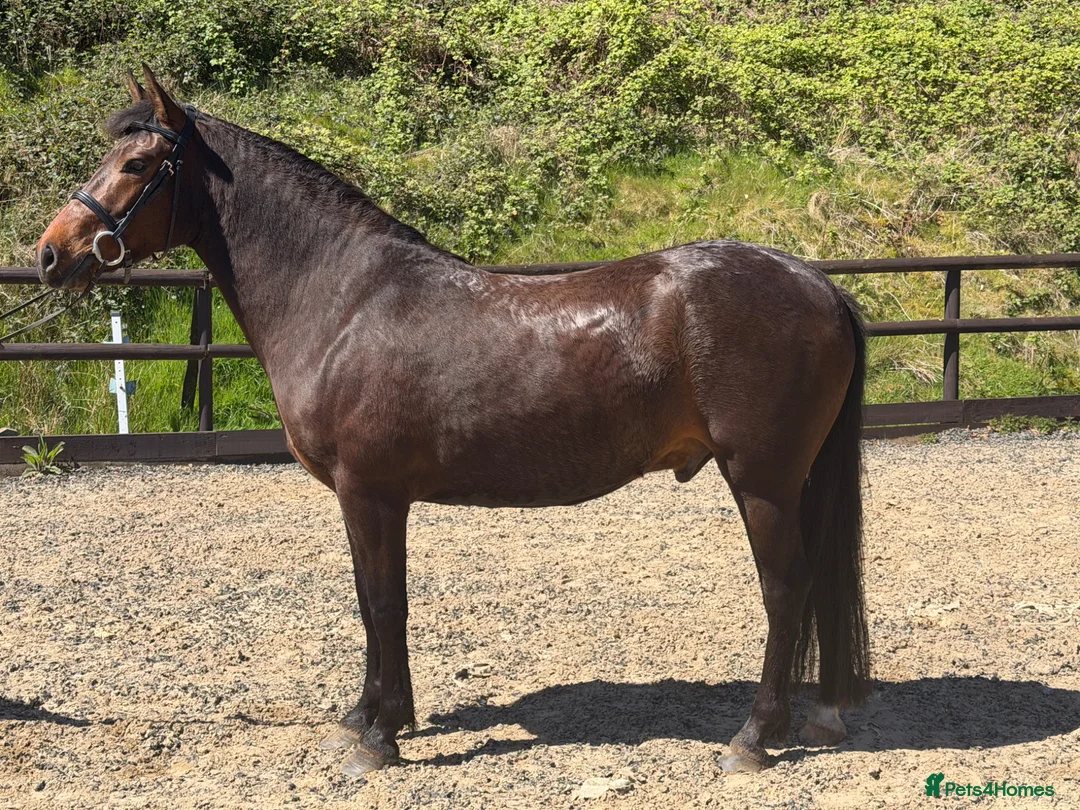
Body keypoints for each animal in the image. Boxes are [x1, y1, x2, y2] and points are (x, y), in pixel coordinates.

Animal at [36, 67, 871, 777]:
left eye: (138, 164)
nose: (50, 253)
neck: (343, 301)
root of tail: (817, 283)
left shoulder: (369, 492)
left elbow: (381, 602)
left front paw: (379, 739)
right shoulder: (371, 499)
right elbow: (373, 603)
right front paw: (372, 716)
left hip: (760, 479)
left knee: (785, 588)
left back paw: (753, 739)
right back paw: (818, 716)